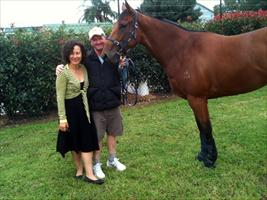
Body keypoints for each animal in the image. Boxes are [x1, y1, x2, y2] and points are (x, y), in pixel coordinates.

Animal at [102, 0, 267, 168]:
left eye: (123, 25)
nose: (106, 54)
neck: (183, 50)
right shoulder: (194, 100)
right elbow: (201, 128)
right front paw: (203, 156)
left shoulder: (198, 99)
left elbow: (206, 128)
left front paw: (210, 160)